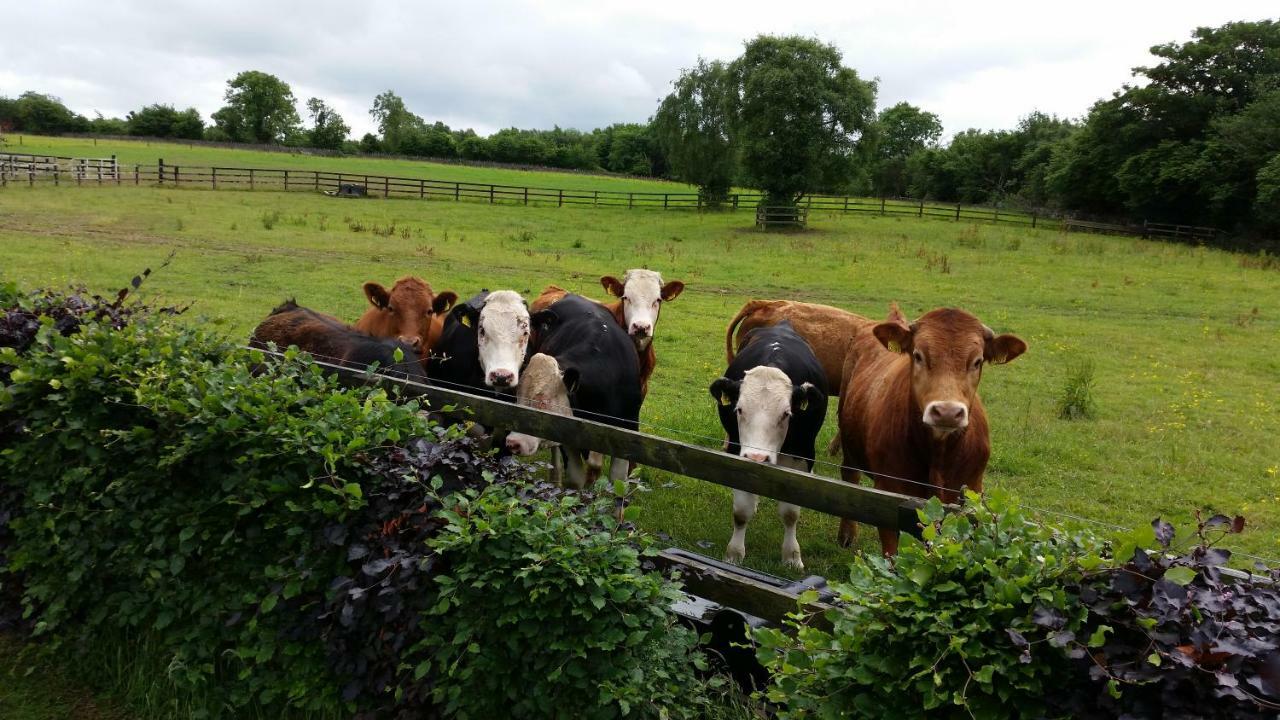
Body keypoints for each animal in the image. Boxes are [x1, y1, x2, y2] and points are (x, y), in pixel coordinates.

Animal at [499, 292, 640, 486]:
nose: (513, 442)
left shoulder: (628, 429)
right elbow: (576, 478)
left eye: (543, 402)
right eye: (517, 398)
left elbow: (616, 479)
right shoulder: (567, 433)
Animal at [711, 319, 829, 566]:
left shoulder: (802, 456)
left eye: (786, 413)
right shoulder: (738, 452)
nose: (758, 458)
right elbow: (741, 511)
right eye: (739, 409)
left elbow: (790, 513)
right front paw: (734, 553)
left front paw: (792, 556)